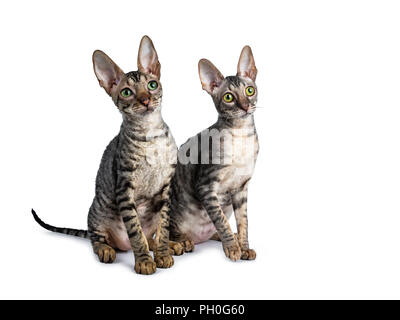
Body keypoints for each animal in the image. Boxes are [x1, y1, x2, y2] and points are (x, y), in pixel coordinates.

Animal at [32, 35, 182, 276]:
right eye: (127, 92)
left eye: (152, 85)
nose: (145, 100)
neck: (151, 136)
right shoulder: (124, 188)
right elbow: (135, 231)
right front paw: (144, 261)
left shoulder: (167, 188)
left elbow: (163, 226)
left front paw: (162, 254)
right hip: (98, 211)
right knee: (98, 239)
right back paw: (107, 250)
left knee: (150, 235)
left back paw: (170, 244)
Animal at [170, 46, 260, 262]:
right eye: (228, 97)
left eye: (249, 90)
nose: (245, 106)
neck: (241, 136)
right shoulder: (206, 186)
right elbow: (220, 219)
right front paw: (233, 248)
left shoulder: (242, 188)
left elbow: (243, 221)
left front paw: (244, 246)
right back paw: (183, 241)